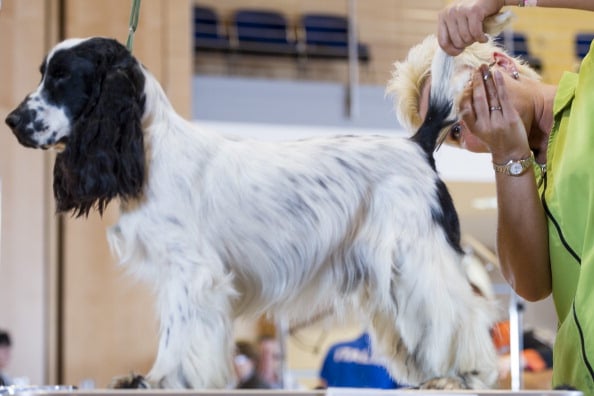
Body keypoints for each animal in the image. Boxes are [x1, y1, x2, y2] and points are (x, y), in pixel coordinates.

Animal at [5, 37, 494, 390]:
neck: (149, 150)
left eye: (62, 78)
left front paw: (164, 380)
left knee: (456, 314)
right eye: (44, 74)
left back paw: (464, 373)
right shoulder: (177, 273)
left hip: (415, 256)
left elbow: (178, 332)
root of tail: (416, 145)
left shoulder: (192, 272)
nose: (10, 121)